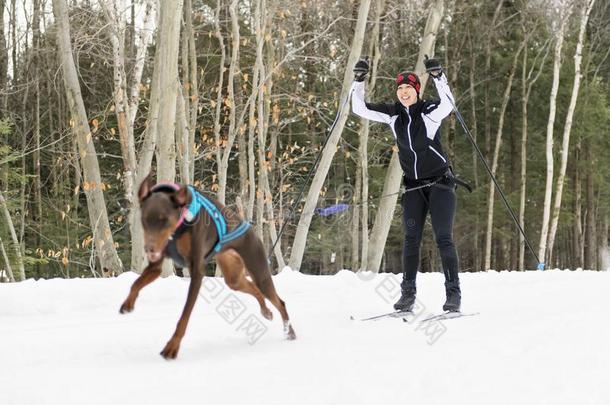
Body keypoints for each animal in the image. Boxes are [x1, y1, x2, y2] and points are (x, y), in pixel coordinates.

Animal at [119, 175, 294, 358]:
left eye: (164, 220)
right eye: (144, 220)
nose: (149, 249)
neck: (180, 225)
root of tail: (251, 230)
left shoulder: (196, 270)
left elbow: (184, 316)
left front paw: (172, 346)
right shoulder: (156, 266)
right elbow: (136, 283)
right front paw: (128, 303)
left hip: (259, 272)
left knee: (279, 301)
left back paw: (289, 332)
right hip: (233, 277)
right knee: (255, 290)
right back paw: (266, 311)